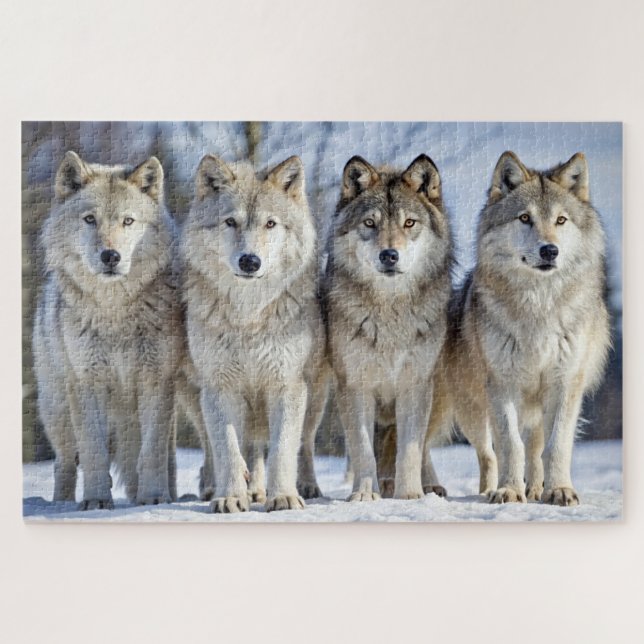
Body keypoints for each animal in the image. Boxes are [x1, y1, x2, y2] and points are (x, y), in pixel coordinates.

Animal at [33, 151, 183, 509]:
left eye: (128, 221)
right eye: (90, 219)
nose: (110, 256)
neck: (116, 312)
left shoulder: (157, 381)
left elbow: (153, 452)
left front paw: (154, 497)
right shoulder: (87, 382)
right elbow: (93, 451)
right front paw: (97, 500)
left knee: (167, 458)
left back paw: (170, 494)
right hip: (57, 409)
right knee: (64, 461)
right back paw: (61, 504)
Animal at [181, 154, 328, 513]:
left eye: (270, 224)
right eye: (230, 222)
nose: (250, 261)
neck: (248, 316)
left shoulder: (286, 385)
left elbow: (282, 450)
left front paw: (284, 497)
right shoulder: (220, 388)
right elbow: (228, 451)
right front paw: (230, 497)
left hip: (314, 400)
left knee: (301, 444)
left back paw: (302, 487)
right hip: (197, 399)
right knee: (223, 448)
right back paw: (223, 488)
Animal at [326, 155, 452, 501]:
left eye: (409, 223)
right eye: (370, 223)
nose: (389, 254)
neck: (389, 314)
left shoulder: (415, 384)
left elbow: (410, 449)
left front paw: (409, 494)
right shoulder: (354, 385)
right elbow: (362, 449)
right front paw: (364, 494)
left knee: (420, 446)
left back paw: (428, 485)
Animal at [423, 151, 610, 506]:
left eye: (561, 220)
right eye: (524, 218)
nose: (549, 250)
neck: (538, 307)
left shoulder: (565, 383)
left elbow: (555, 446)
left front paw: (558, 490)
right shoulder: (502, 385)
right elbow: (510, 445)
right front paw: (509, 491)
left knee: (528, 448)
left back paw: (533, 490)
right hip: (461, 408)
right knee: (452, 447)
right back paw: (439, 489)